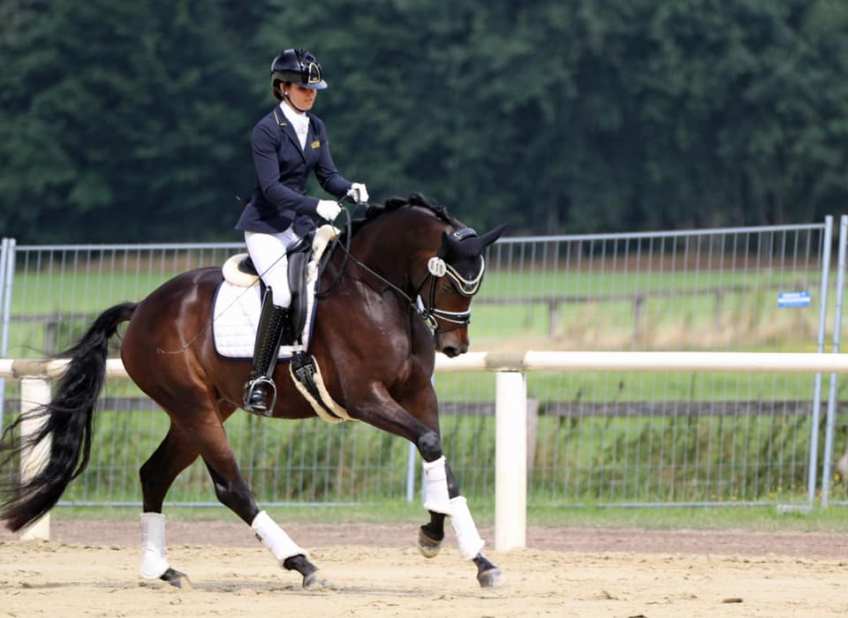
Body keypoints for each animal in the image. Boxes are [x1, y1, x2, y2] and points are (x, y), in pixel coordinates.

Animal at [0, 195, 506, 589]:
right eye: (449, 279)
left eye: (476, 283)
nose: (454, 347)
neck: (374, 290)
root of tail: (143, 306)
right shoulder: (364, 398)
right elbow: (430, 443)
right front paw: (441, 540)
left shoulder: (418, 393)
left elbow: (439, 458)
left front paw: (468, 553)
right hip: (195, 408)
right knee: (231, 488)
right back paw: (303, 564)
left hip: (203, 411)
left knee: (154, 475)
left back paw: (162, 570)